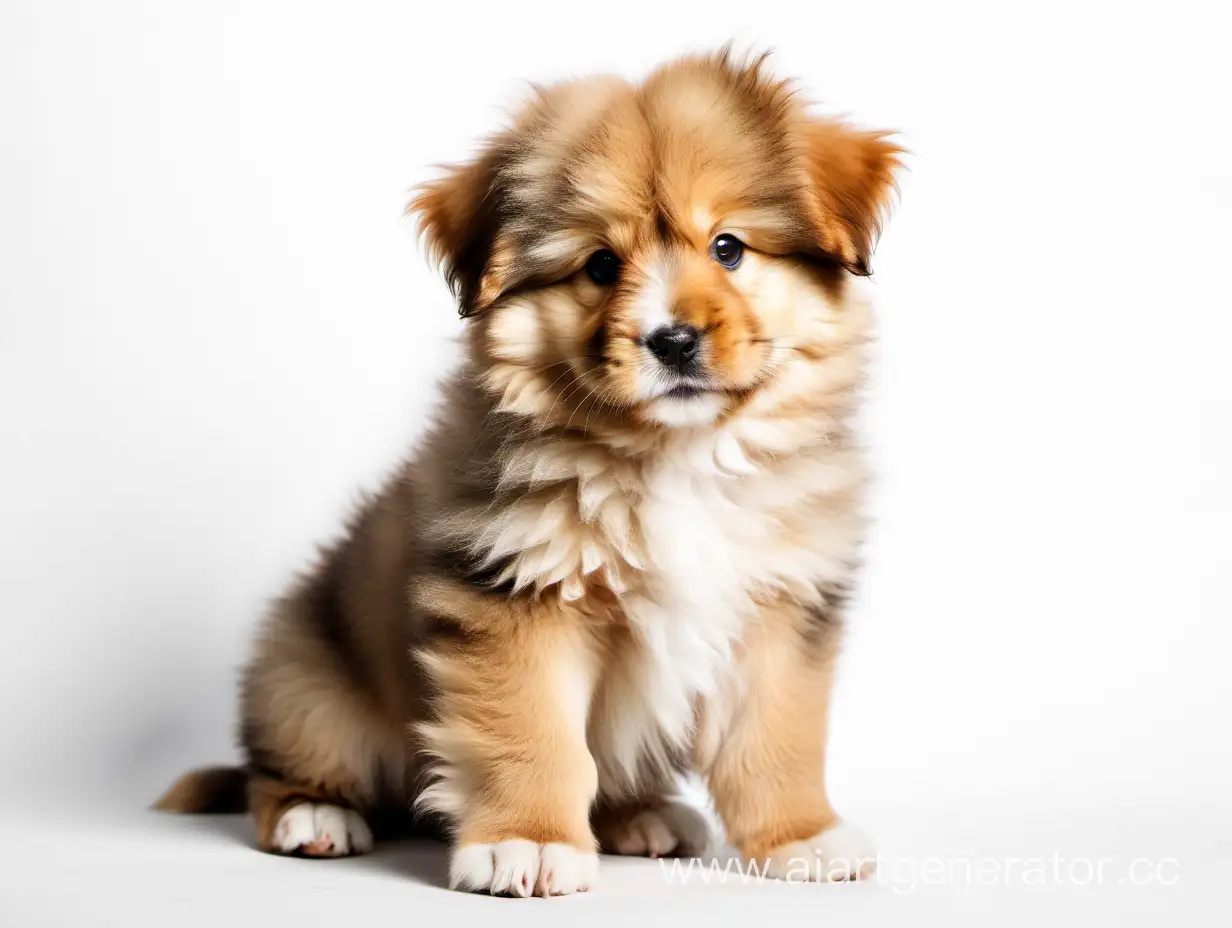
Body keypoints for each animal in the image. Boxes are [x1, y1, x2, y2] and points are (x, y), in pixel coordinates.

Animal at [156, 47, 906, 892]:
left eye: (728, 248)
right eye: (601, 265)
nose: (672, 340)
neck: (671, 458)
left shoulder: (781, 608)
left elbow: (775, 738)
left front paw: (801, 838)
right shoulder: (513, 597)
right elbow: (533, 735)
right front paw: (530, 842)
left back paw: (640, 818)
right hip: (308, 687)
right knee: (277, 771)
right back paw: (315, 816)